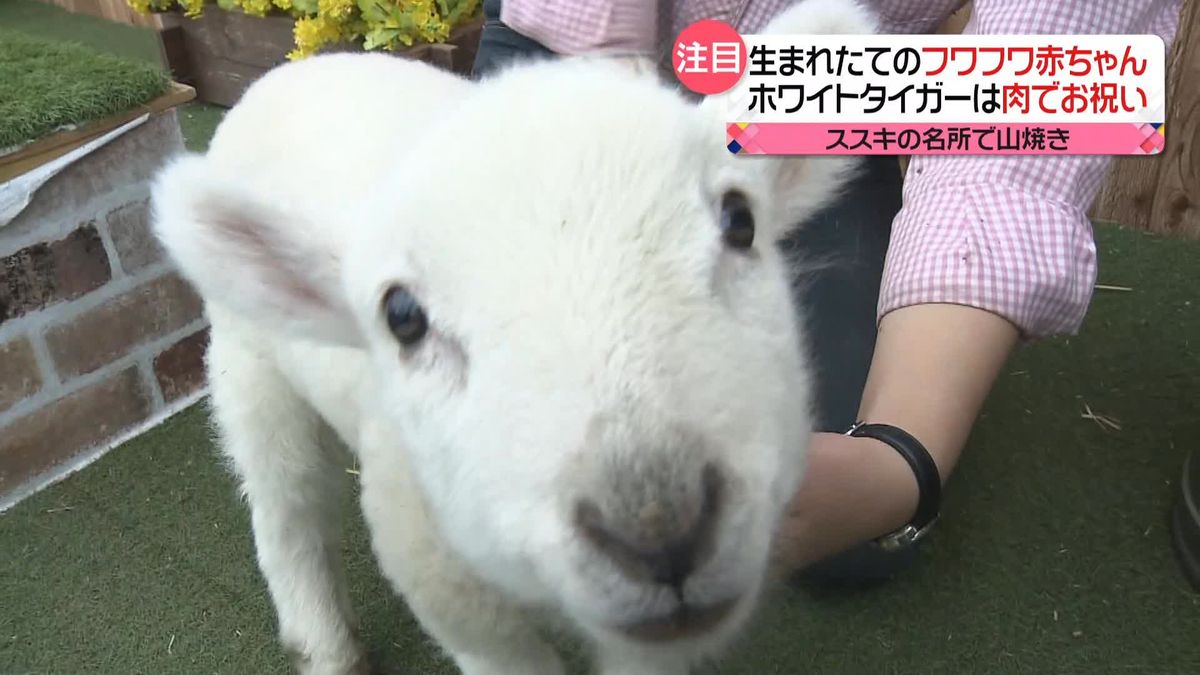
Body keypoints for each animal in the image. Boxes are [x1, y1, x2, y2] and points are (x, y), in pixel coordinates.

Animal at [147, 2, 883, 667]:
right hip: (247, 362)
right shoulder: (448, 588)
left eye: (740, 221)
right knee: (286, 505)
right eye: (401, 317)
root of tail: (299, 65)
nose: (656, 530)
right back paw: (324, 644)